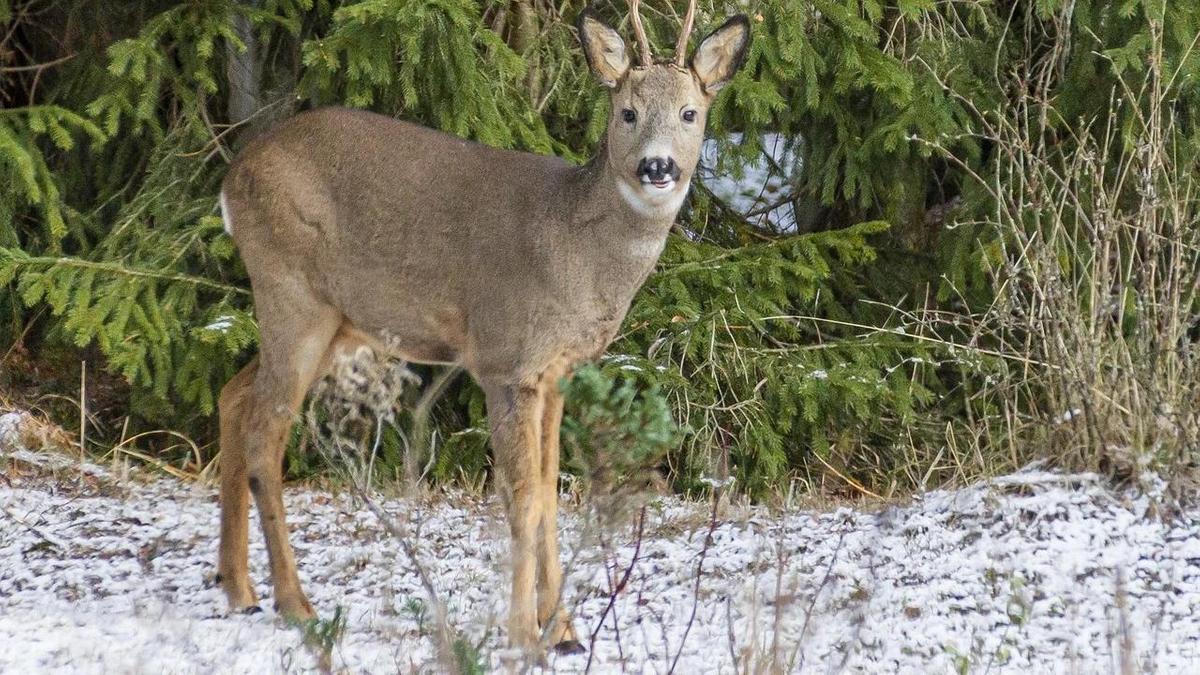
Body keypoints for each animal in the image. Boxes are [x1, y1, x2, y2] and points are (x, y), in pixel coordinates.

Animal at [211, 0, 744, 653]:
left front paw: (564, 630)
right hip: (293, 292)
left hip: (335, 323)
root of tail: (231, 181)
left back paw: (239, 588)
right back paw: (295, 603)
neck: (575, 251)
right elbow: (521, 497)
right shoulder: (505, 359)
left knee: (235, 395)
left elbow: (550, 492)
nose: (657, 165)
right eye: (628, 112)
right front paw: (523, 633)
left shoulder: (558, 371)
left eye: (690, 112)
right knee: (266, 432)